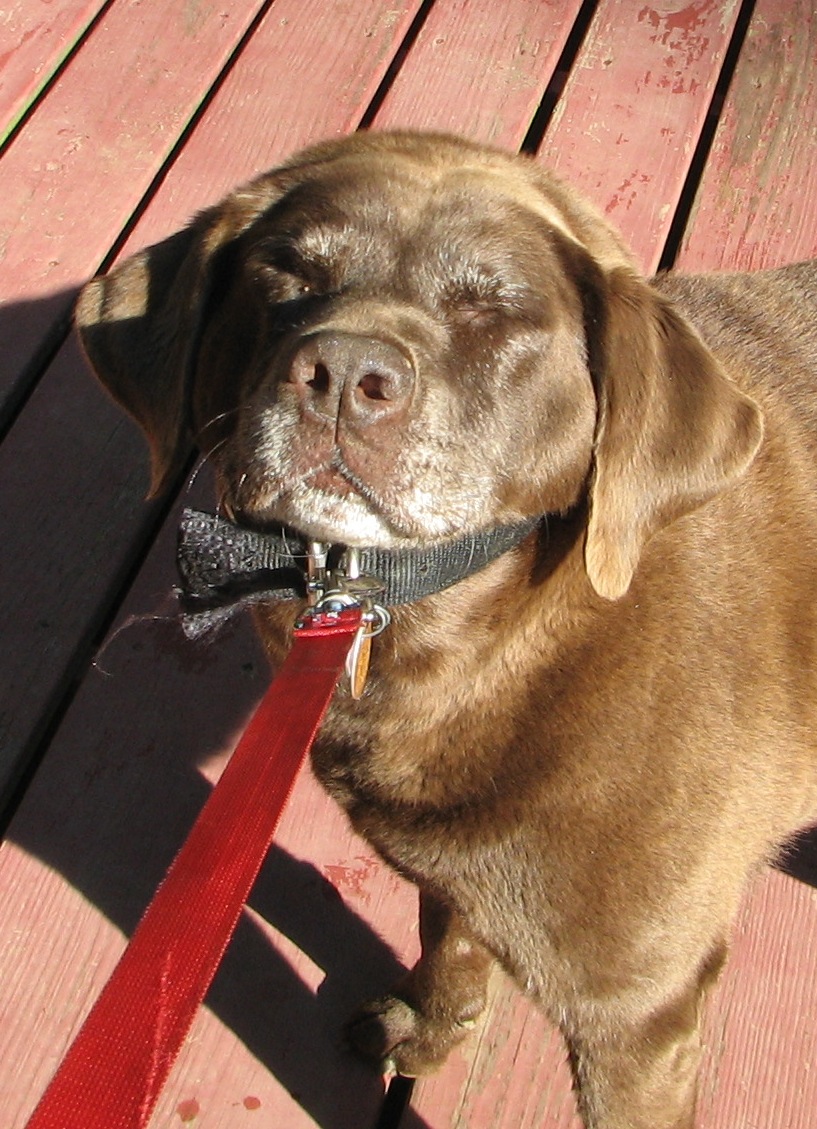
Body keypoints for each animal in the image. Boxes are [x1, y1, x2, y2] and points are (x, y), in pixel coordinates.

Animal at [75, 132, 817, 1129]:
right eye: (286, 274)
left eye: (494, 312)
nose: (341, 375)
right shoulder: (452, 873)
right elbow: (450, 939)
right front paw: (429, 1029)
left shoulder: (639, 1014)